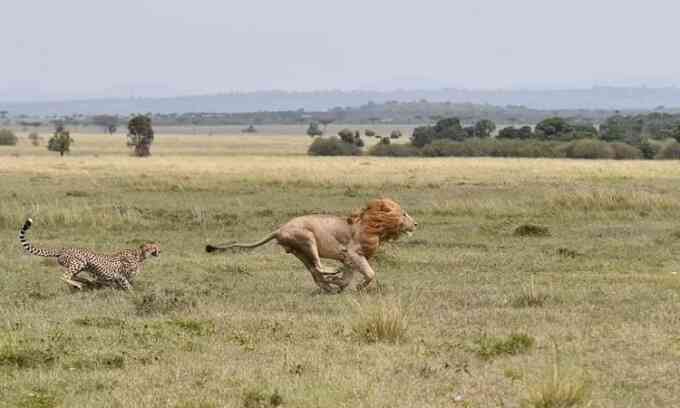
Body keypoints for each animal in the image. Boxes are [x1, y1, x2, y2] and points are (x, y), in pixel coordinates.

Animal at [18, 218, 159, 288]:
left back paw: (84, 281)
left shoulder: (119, 278)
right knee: (65, 276)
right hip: (78, 262)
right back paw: (80, 284)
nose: (160, 251)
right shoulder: (121, 276)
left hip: (81, 266)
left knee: (73, 276)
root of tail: (63, 248)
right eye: (154, 247)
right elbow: (129, 287)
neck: (139, 255)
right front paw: (134, 295)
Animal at [205, 198, 418, 292]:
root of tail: (279, 229)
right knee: (318, 266)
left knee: (315, 271)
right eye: (404, 213)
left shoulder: (350, 259)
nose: (416, 224)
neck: (373, 225)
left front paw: (341, 285)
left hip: (300, 252)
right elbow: (370, 273)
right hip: (307, 238)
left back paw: (329, 284)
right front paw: (355, 285)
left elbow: (349, 277)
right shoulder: (352, 253)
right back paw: (332, 275)